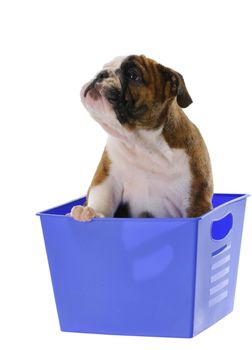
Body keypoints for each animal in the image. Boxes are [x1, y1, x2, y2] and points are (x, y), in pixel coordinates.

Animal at [70, 55, 214, 220]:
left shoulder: (195, 200)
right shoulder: (107, 179)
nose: (101, 74)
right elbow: (102, 197)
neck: (141, 143)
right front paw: (90, 212)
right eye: (104, 67)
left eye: (133, 76)